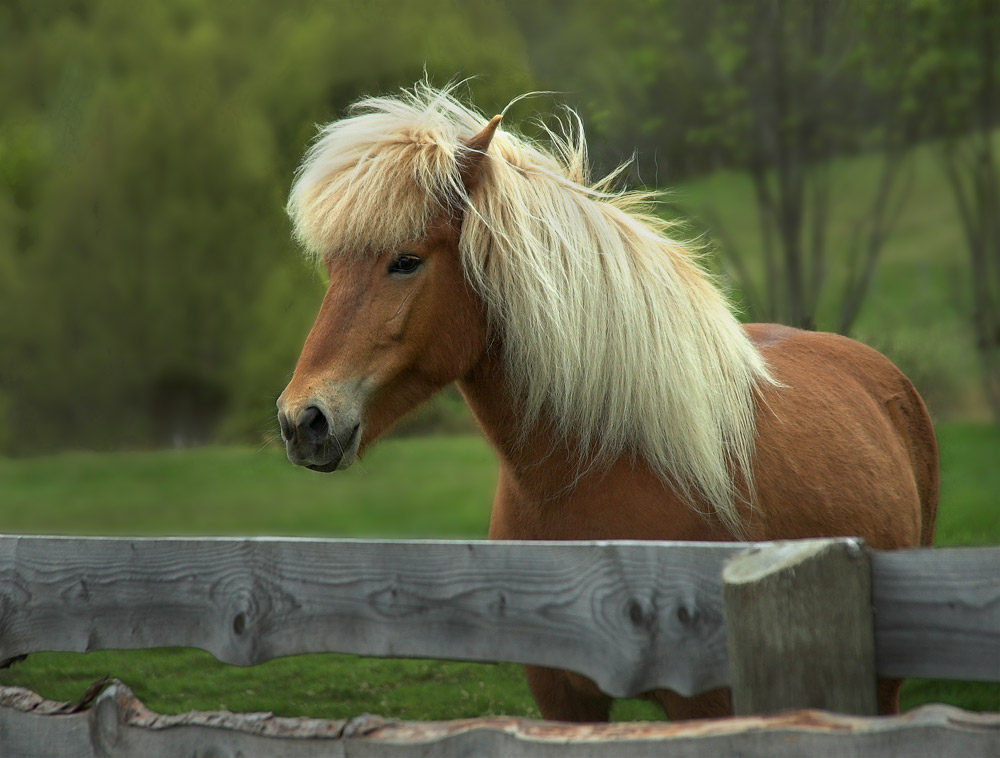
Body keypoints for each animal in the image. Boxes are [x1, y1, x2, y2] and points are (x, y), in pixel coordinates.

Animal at [274, 83, 936, 724]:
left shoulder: (704, 704)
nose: (303, 420)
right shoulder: (563, 698)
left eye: (406, 261)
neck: (595, 469)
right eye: (332, 268)